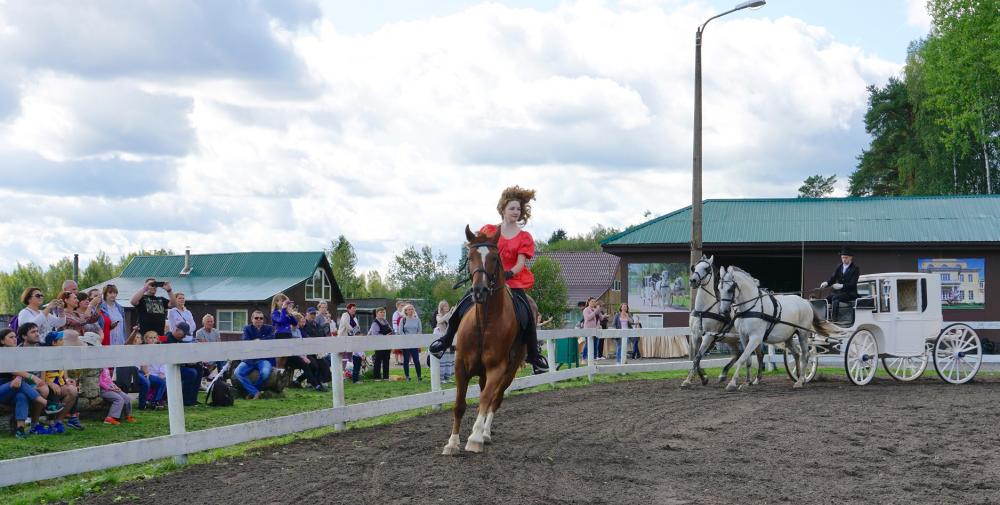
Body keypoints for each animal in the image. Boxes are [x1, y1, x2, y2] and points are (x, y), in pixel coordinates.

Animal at [441, 225, 528, 455]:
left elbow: (486, 399)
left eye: (494, 257)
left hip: (509, 371)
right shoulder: (461, 366)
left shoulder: (497, 368)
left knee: (495, 399)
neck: (484, 322)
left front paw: (474, 438)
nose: (479, 291)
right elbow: (459, 405)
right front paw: (452, 443)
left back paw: (485, 433)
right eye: (470, 257)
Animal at [681, 256, 764, 388]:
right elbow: (696, 358)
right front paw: (703, 377)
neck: (703, 310)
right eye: (694, 267)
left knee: (759, 355)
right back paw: (723, 374)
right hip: (730, 339)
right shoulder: (695, 336)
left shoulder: (708, 336)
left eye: (706, 268)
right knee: (738, 354)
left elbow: (697, 357)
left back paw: (757, 378)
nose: (693, 280)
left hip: (752, 337)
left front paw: (688, 380)